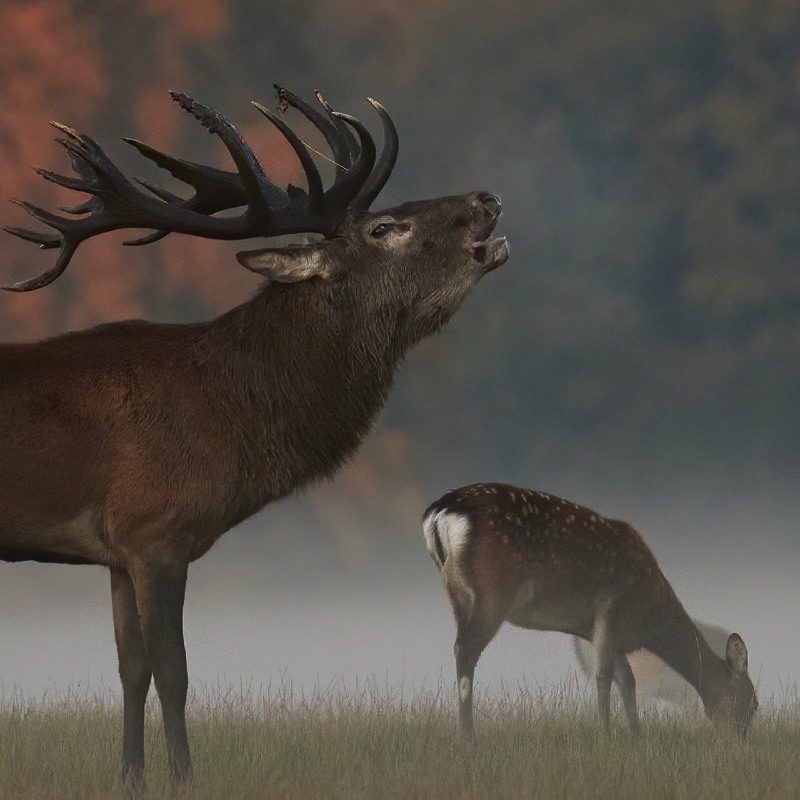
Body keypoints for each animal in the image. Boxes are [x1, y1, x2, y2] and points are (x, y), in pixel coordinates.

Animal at [0, 86, 510, 780]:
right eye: (384, 228)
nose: (487, 198)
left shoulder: (117, 548)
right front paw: (185, 779)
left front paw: (130, 777)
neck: (226, 417)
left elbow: (131, 670)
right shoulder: (156, 530)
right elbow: (173, 671)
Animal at [422, 482, 760, 736]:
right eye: (752, 703)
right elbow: (604, 677)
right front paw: (606, 734)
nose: (739, 741)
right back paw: (468, 737)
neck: (651, 616)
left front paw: (636, 735)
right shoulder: (611, 609)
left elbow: (627, 681)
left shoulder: (605, 632)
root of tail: (439, 513)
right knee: (466, 649)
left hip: (456, 592)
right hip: (491, 590)